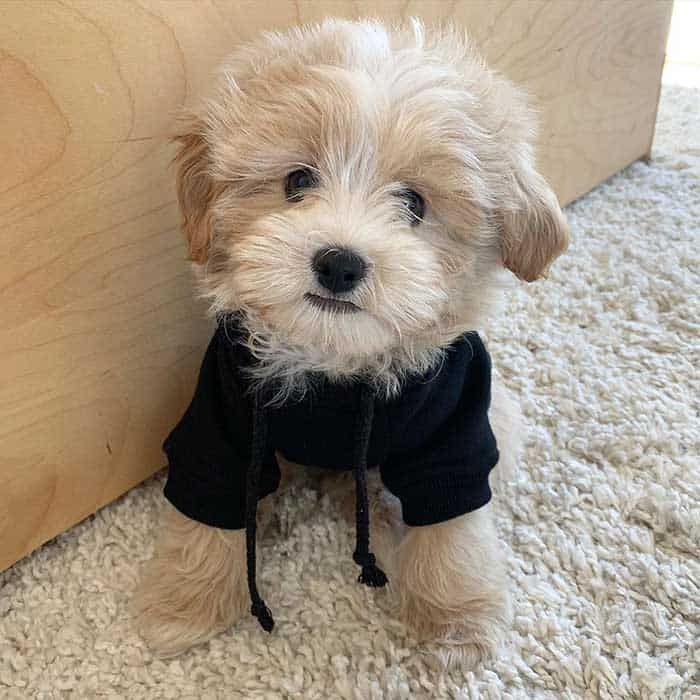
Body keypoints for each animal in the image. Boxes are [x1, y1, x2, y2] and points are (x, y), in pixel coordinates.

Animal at [133, 13, 568, 664]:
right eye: (297, 181)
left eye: (414, 203)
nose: (339, 263)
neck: (337, 364)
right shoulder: (223, 414)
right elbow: (206, 509)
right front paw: (182, 606)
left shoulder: (455, 427)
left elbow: (453, 526)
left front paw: (458, 624)